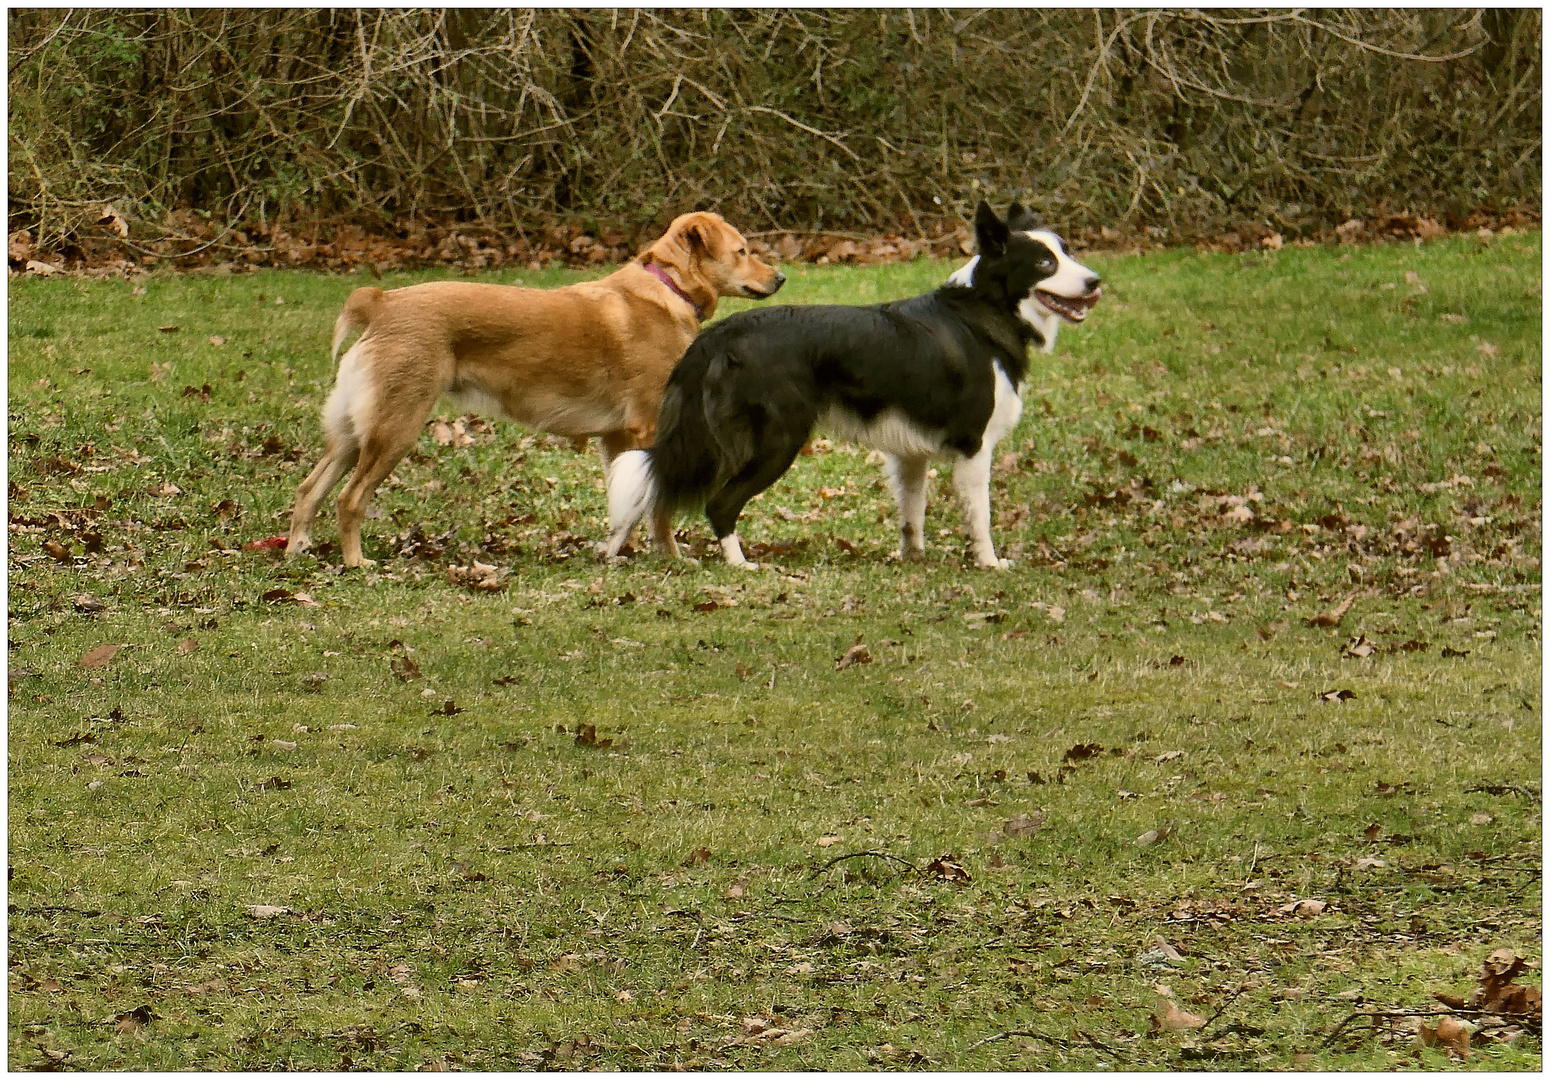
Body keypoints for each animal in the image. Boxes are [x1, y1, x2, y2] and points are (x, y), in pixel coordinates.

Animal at [285, 209, 781, 564]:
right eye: (742, 251)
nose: (780, 278)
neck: (667, 290)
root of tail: (383, 303)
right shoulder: (648, 429)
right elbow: (655, 508)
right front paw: (670, 557)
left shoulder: (616, 438)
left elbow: (625, 505)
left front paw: (619, 554)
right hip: (395, 430)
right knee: (348, 499)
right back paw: (356, 563)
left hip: (353, 433)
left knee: (309, 489)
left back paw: (296, 550)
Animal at [598, 206, 1097, 570]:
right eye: (1044, 263)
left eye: (1067, 253)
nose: (1095, 281)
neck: (983, 311)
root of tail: (717, 336)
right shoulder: (974, 448)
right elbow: (981, 518)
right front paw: (990, 565)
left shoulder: (910, 454)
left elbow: (912, 515)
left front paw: (913, 560)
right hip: (777, 443)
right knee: (720, 504)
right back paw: (741, 565)